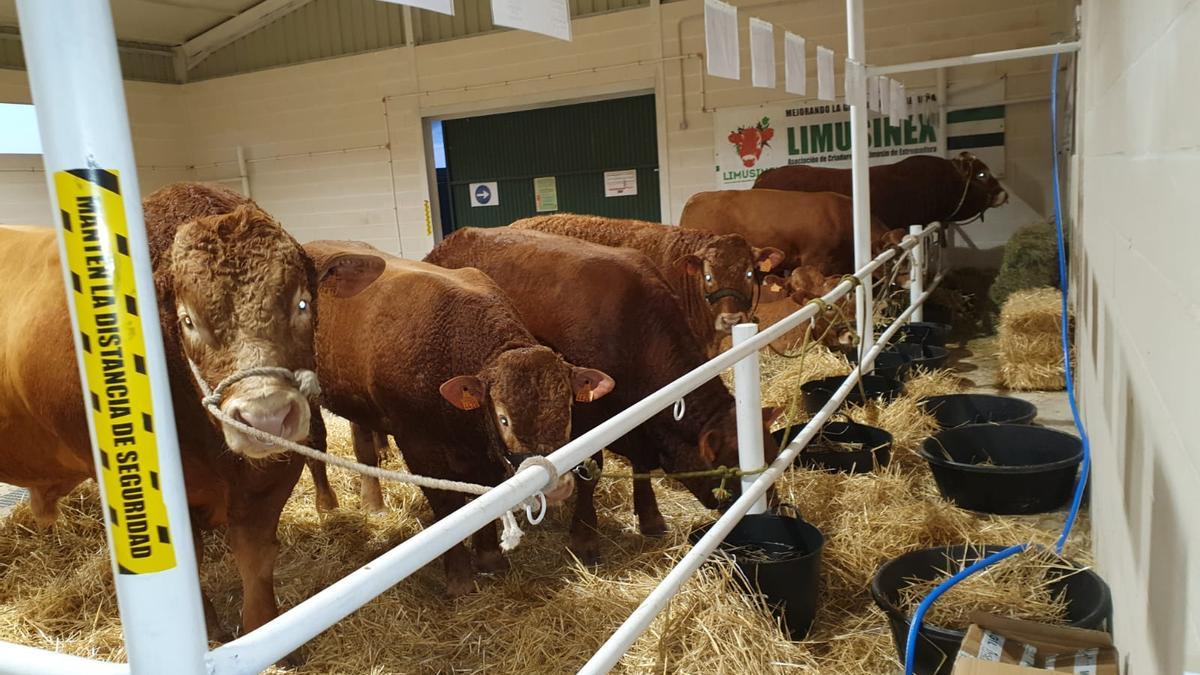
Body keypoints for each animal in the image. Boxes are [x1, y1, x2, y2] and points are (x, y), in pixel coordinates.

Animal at [0, 182, 381, 638]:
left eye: (302, 303)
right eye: (187, 320)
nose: (267, 417)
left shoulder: (273, 476)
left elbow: (255, 560)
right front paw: (208, 628)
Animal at [304, 240, 614, 593]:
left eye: (568, 409)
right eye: (504, 419)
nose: (558, 485)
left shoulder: (480, 448)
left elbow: (482, 492)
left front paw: (490, 557)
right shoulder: (417, 444)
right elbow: (446, 504)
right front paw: (459, 575)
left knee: (363, 445)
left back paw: (373, 503)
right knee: (315, 444)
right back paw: (327, 506)